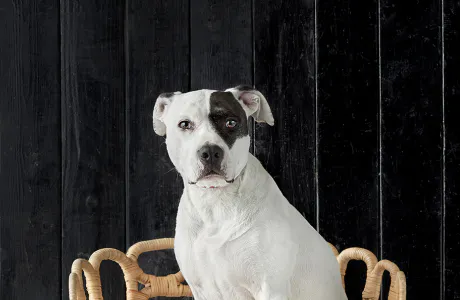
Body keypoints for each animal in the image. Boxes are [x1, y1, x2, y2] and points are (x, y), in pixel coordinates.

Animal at [153, 85, 346, 300]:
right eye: (185, 124)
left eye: (231, 122)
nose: (210, 152)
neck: (215, 202)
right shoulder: (202, 290)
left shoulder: (271, 289)